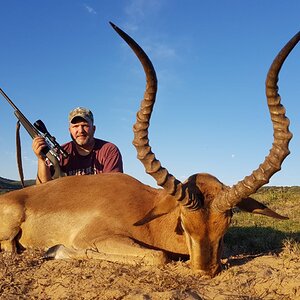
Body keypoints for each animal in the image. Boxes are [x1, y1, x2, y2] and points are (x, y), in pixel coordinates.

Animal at [0, 24, 300, 278]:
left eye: (227, 222)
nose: (204, 271)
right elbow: (159, 257)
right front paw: (57, 250)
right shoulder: (95, 238)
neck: (149, 213)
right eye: (184, 223)